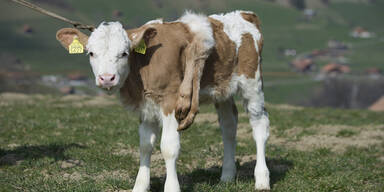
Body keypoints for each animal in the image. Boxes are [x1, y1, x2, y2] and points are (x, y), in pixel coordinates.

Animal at [55, 10, 270, 192]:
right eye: (91, 53)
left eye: (124, 53)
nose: (107, 78)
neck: (143, 66)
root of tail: (243, 14)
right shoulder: (145, 107)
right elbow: (145, 145)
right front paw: (140, 186)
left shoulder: (171, 101)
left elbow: (168, 147)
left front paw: (172, 187)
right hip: (223, 90)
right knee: (228, 126)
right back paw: (227, 176)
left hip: (252, 83)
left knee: (259, 125)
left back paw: (261, 179)